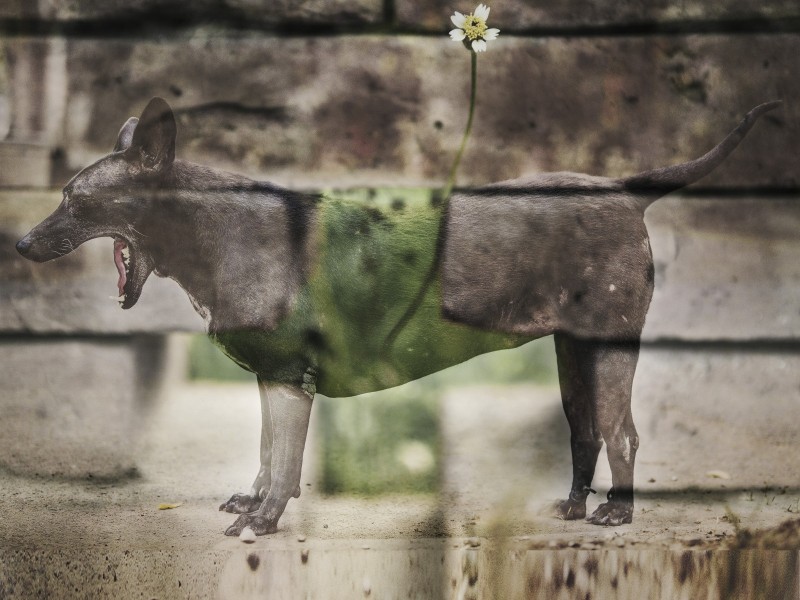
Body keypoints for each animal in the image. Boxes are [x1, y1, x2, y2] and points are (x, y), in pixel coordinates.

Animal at [15, 97, 780, 536]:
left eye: (74, 199)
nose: (20, 244)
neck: (217, 230)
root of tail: (625, 188)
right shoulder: (273, 381)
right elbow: (265, 454)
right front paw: (252, 501)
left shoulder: (290, 381)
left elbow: (284, 464)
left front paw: (265, 520)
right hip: (574, 355)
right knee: (585, 430)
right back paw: (572, 505)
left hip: (613, 347)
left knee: (623, 433)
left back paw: (617, 513)